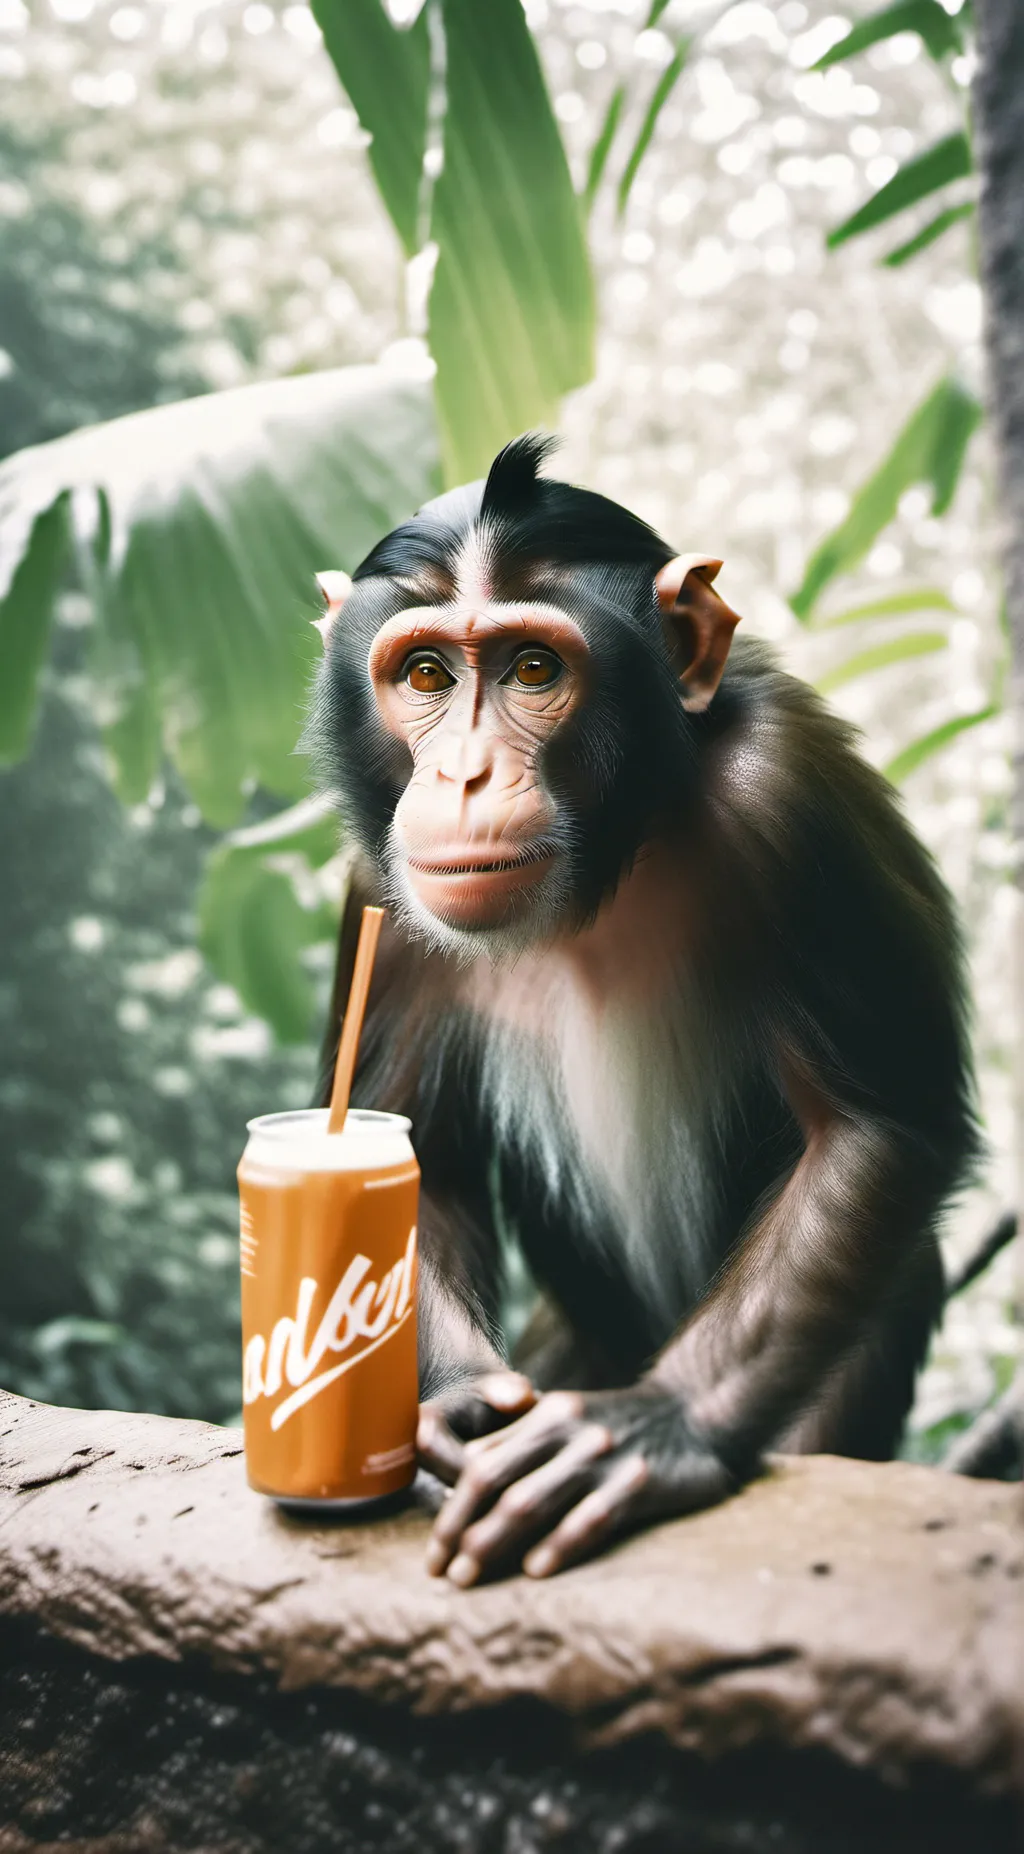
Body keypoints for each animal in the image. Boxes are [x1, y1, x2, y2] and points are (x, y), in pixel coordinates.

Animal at [305, 433, 978, 1586]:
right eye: (426, 674)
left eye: (534, 670)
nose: (463, 773)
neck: (612, 858)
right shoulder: (377, 889)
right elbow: (409, 1158)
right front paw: (451, 1408)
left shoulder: (791, 792)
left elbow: (873, 1126)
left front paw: (650, 1428)